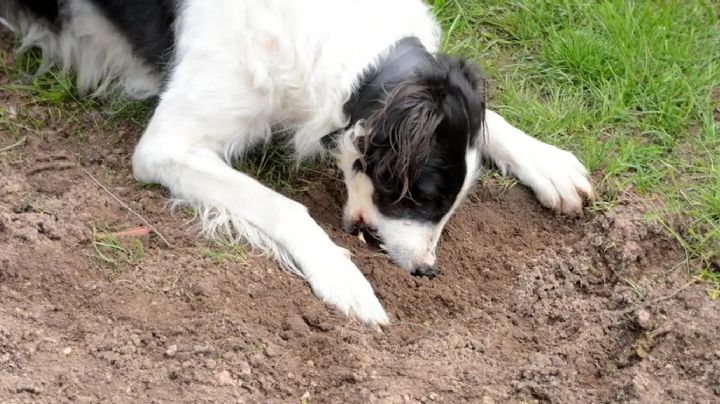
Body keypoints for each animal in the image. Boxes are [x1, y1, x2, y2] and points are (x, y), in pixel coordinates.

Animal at [2, 0, 592, 326]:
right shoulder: (167, 145)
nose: (428, 272)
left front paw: (548, 161)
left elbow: (491, 123)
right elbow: (286, 207)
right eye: (422, 197)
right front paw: (345, 278)